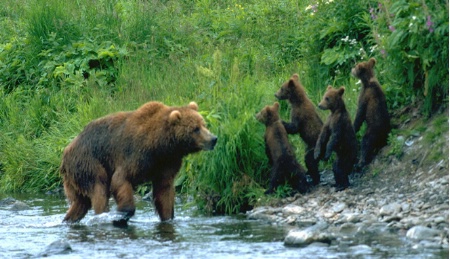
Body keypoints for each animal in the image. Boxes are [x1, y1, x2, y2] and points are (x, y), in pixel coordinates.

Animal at [60, 101, 218, 225]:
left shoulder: (167, 163)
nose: (213, 139)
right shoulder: (137, 154)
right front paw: (123, 212)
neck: (161, 145)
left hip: (76, 176)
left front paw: (168, 217)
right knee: (99, 188)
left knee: (81, 202)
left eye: (204, 124)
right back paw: (102, 215)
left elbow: (164, 190)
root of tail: (66, 150)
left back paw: (68, 219)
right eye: (195, 129)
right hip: (88, 162)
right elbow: (121, 179)